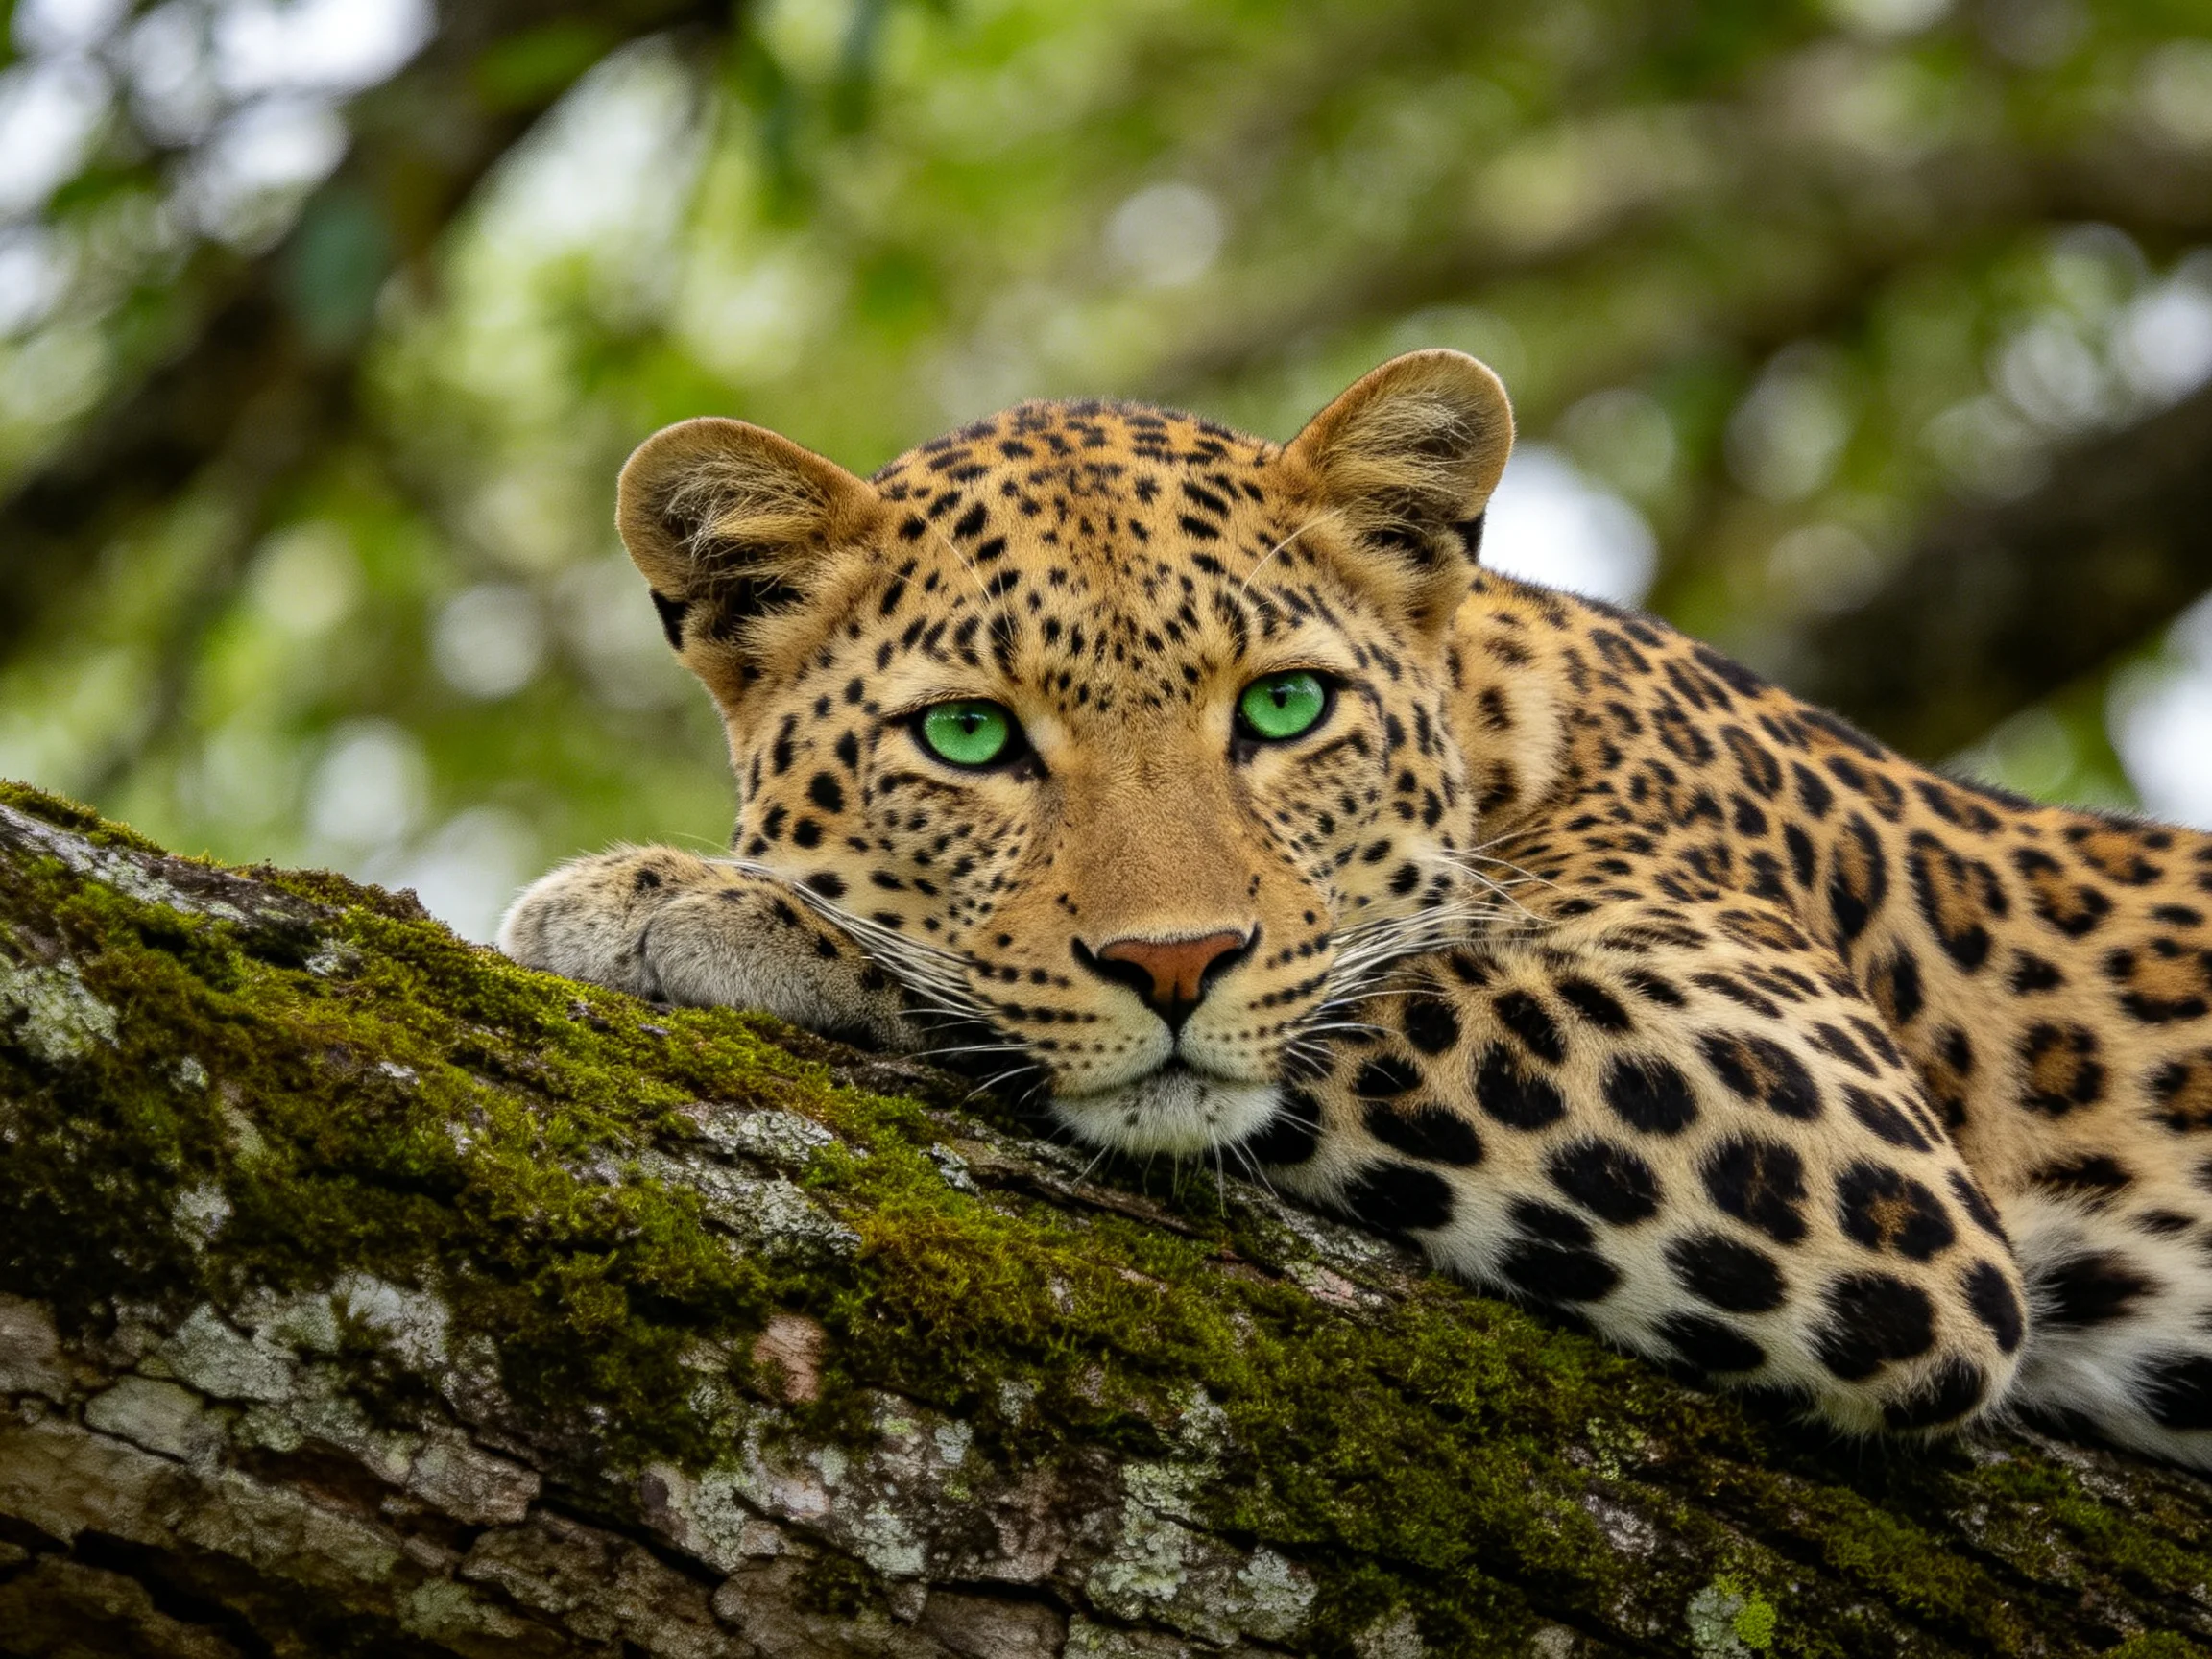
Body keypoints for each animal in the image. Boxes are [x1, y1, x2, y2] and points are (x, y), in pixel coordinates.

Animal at [500, 350, 2212, 1465]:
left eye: (1284, 707)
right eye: (971, 737)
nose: (1175, 961)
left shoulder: (1841, 1136)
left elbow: (1373, 987)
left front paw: (677, 902)